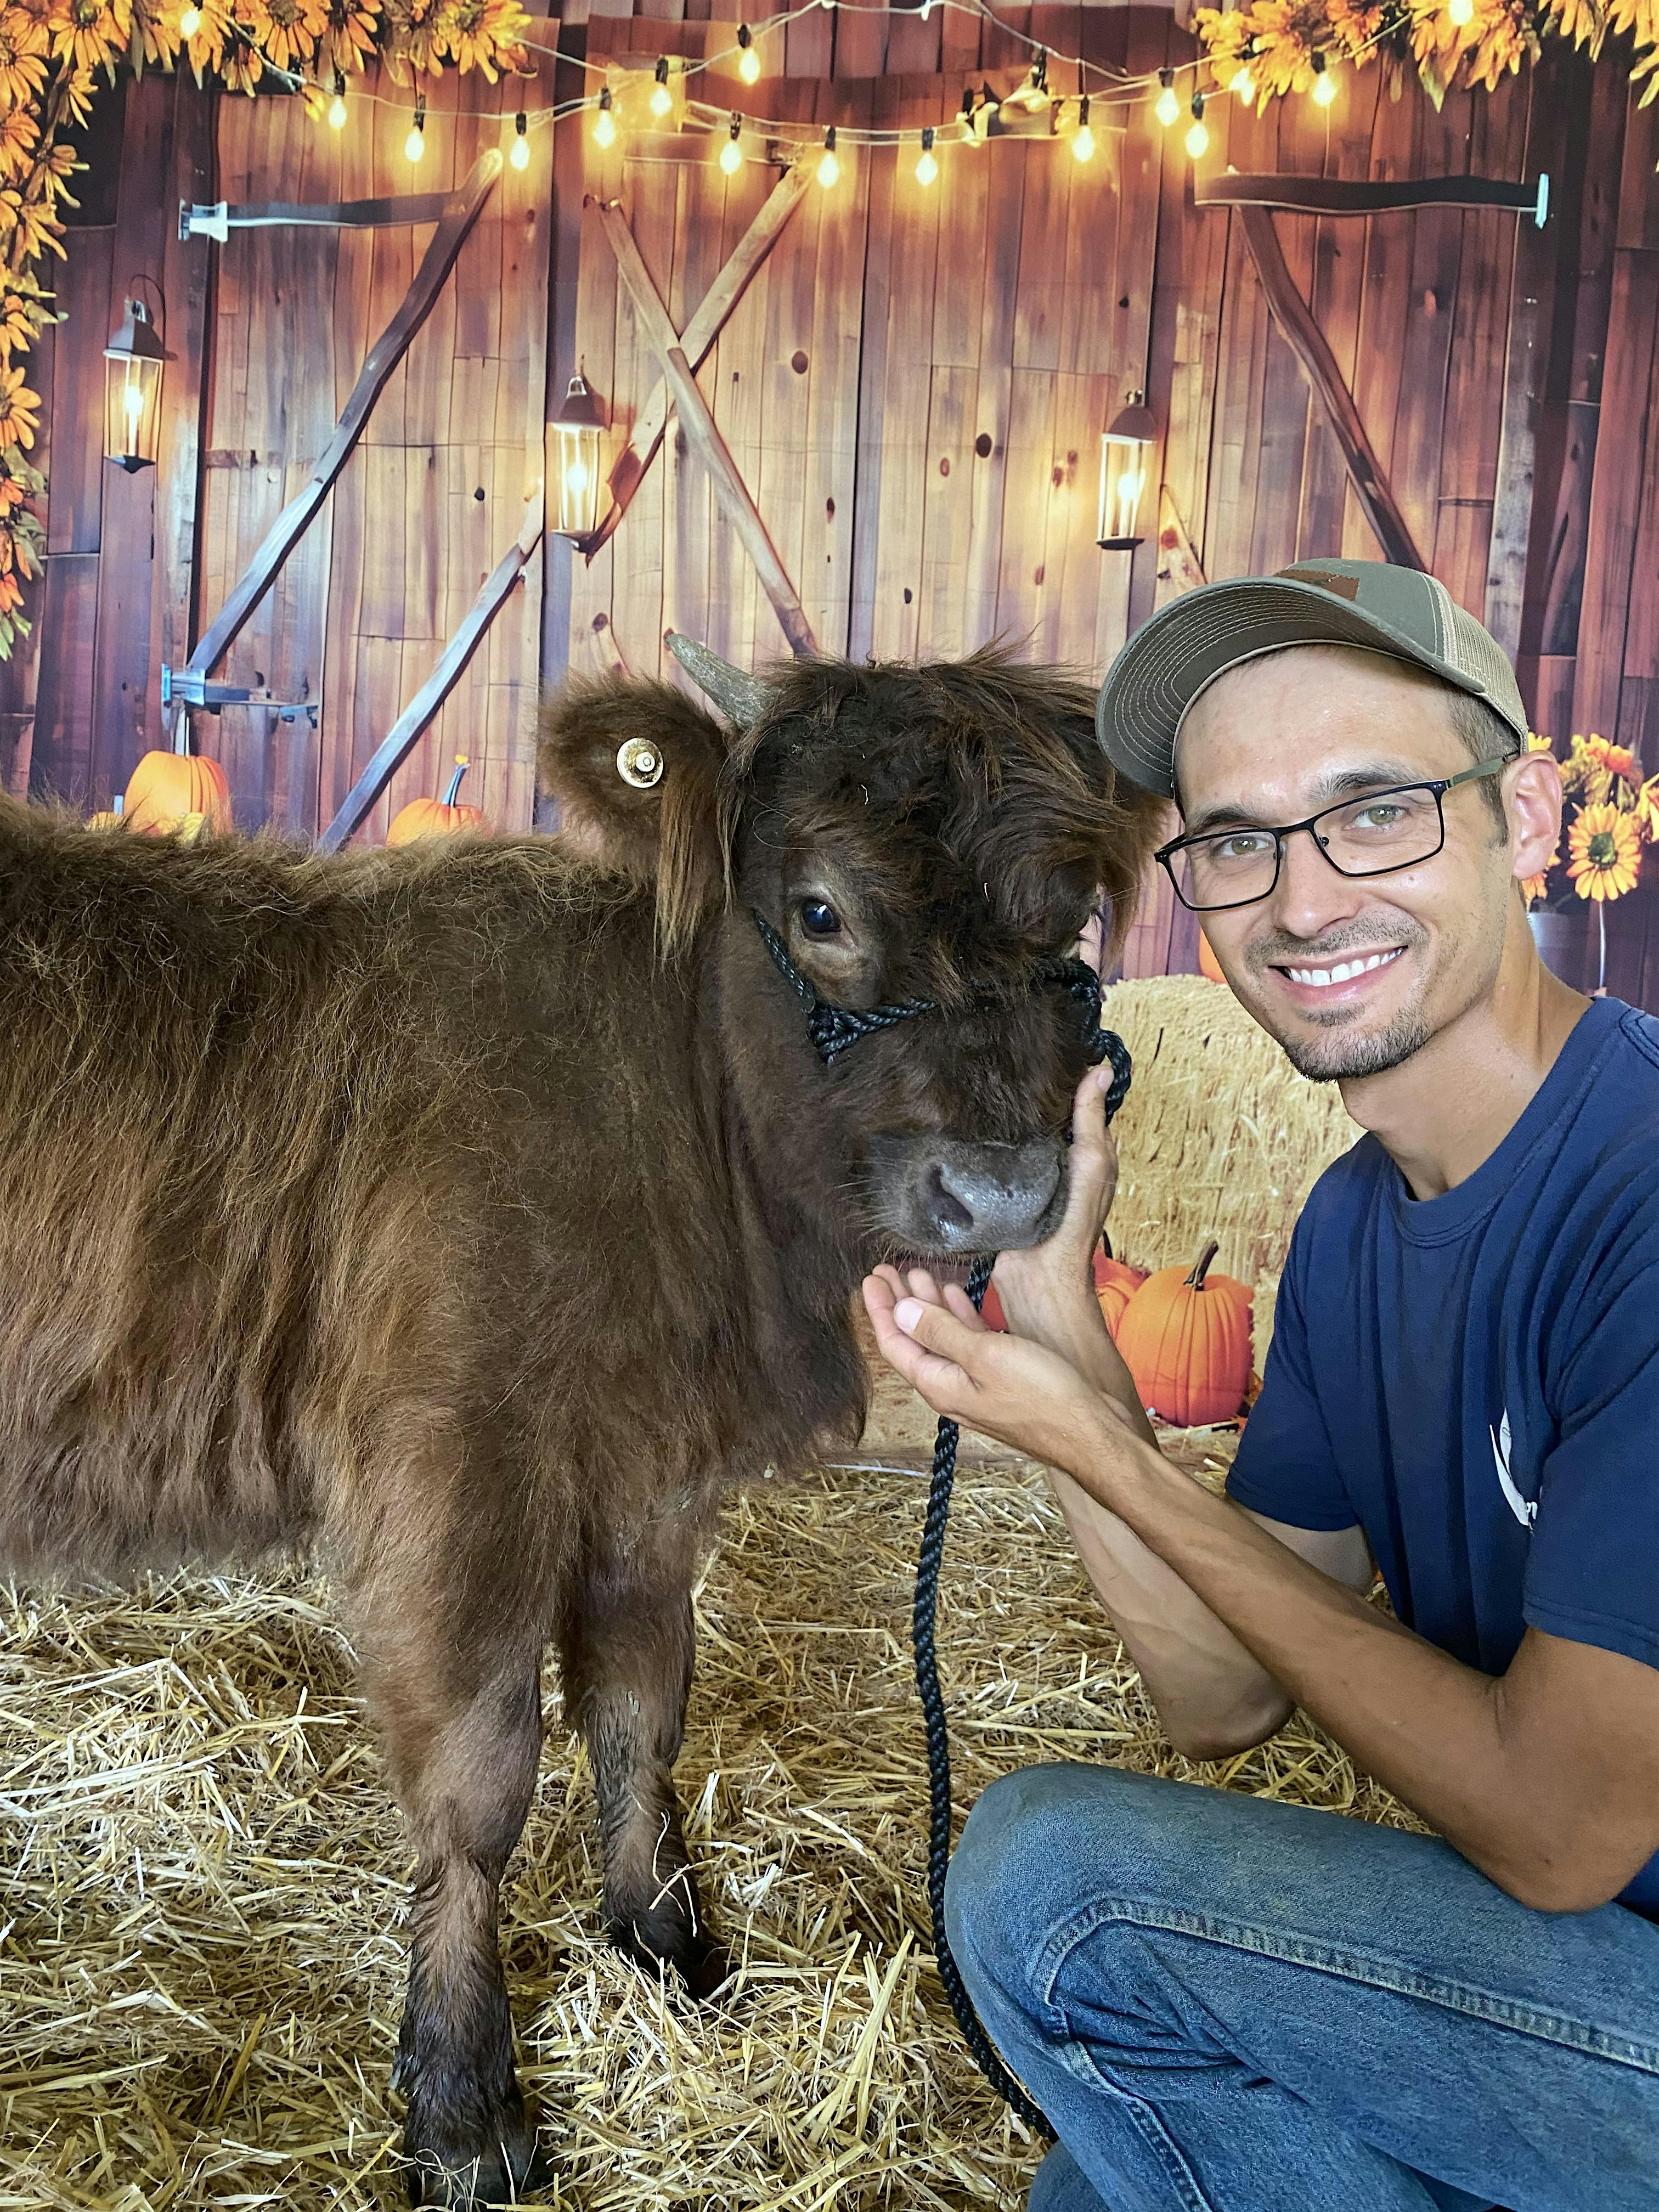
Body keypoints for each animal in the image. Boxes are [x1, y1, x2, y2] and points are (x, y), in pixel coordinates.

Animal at [0, 639, 1162, 2203]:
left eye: (1074, 913)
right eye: (819, 908)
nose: (1001, 1195)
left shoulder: (649, 1475)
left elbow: (638, 1706)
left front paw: (663, 1936)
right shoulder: (456, 1468)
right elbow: (481, 1775)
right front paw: (463, 2098)